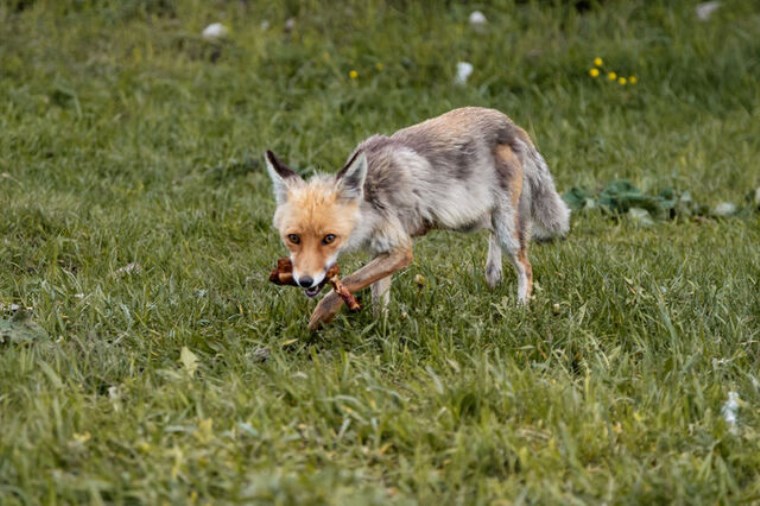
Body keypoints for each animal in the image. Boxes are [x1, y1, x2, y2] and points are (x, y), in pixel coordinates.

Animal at [268, 106, 568, 328]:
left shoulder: (401, 249)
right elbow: (378, 295)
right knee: (492, 234)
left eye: (329, 238)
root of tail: (509, 123)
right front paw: (380, 329)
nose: (305, 281)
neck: (371, 202)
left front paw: (317, 320)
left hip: (506, 226)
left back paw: (520, 309)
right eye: (293, 238)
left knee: (525, 266)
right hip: (471, 218)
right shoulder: (383, 249)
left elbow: (346, 286)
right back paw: (493, 275)